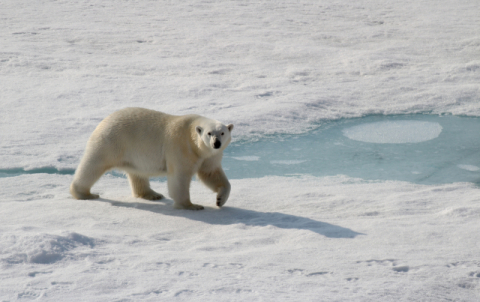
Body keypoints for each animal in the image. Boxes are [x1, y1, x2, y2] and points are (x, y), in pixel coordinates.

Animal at [71, 108, 234, 210]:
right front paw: (191, 205)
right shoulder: (180, 147)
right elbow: (180, 177)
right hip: (112, 142)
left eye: (222, 133)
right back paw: (84, 194)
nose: (216, 143)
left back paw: (152, 194)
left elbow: (211, 173)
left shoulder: (209, 156)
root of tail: (104, 121)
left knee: (138, 174)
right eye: (209, 133)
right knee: (93, 165)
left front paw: (220, 200)